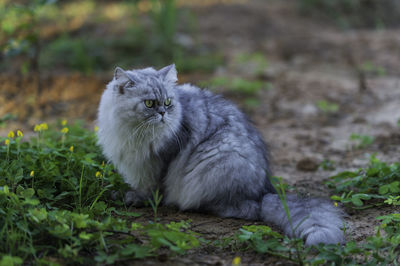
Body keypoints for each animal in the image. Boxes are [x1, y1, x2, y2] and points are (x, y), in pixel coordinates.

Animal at [97, 64, 344, 245]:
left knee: (248, 209)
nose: (163, 114)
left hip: (218, 162)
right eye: (149, 103)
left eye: (167, 102)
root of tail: (265, 190)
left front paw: (135, 199)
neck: (132, 132)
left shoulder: (159, 162)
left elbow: (151, 189)